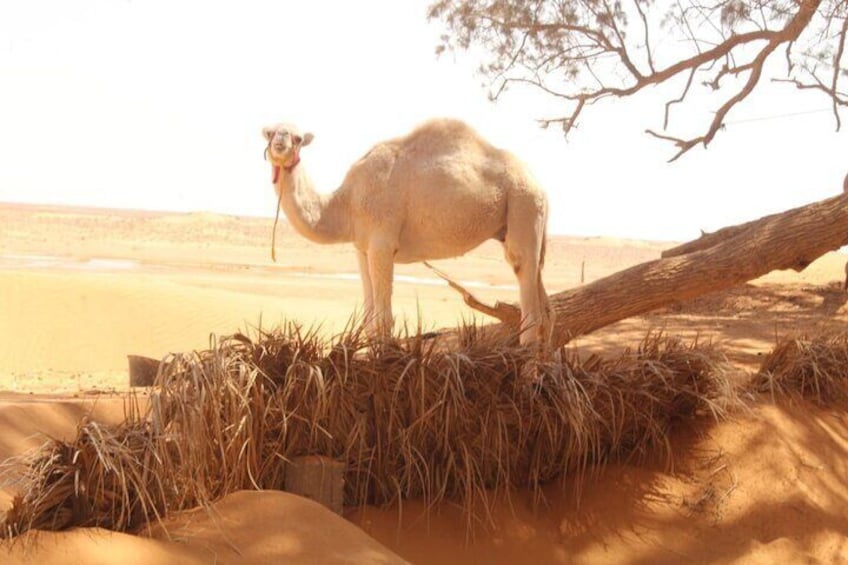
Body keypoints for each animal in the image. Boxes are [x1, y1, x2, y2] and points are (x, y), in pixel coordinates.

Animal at [266, 118, 556, 344]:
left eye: (297, 138)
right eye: (269, 133)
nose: (279, 145)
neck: (346, 203)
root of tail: (540, 184)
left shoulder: (382, 243)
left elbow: (382, 320)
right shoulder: (362, 248)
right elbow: (368, 318)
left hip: (523, 204)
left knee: (525, 284)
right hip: (526, 217)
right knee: (546, 307)